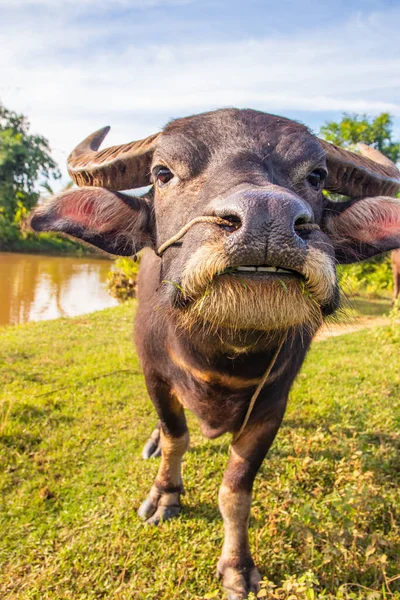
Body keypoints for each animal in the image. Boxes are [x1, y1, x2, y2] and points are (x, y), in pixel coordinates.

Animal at [30, 110, 400, 596]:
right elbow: (176, 437)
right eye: (162, 173)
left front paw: (237, 566)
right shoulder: (153, 374)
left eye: (316, 176)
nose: (268, 216)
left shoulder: (272, 404)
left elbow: (236, 489)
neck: (222, 356)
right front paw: (164, 495)